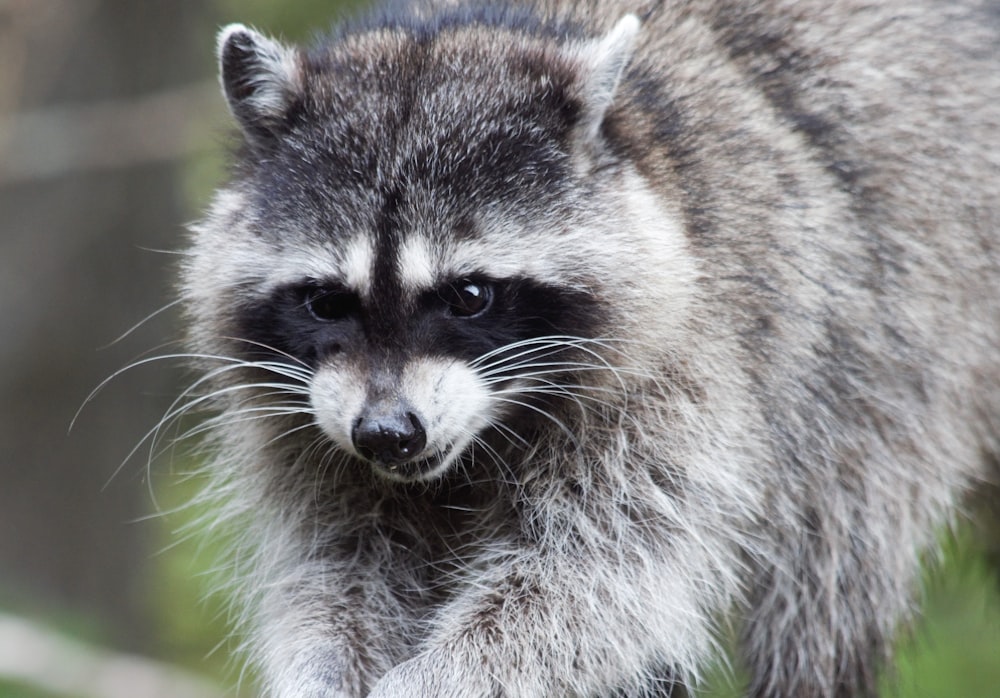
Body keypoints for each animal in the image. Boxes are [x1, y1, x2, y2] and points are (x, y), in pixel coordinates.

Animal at [182, 0, 1000, 692]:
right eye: (327, 301)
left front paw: (432, 680)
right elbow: (338, 576)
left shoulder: (686, 374)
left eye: (469, 295)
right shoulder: (310, 433)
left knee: (826, 587)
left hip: (882, 357)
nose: (386, 435)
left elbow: (587, 582)